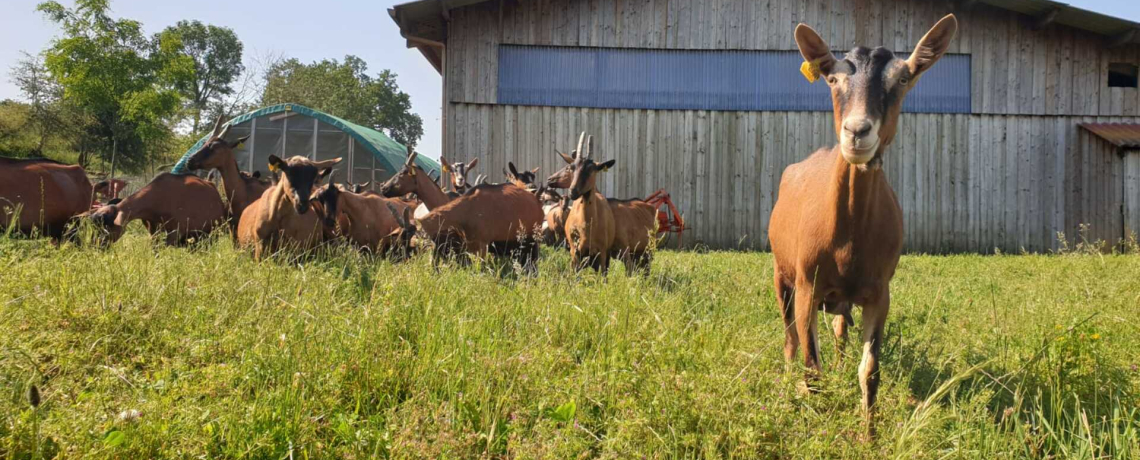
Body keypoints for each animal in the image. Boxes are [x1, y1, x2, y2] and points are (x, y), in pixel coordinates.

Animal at [766, 15, 962, 439]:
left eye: (903, 79)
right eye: (832, 79)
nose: (857, 132)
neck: (847, 239)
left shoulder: (879, 292)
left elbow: (869, 370)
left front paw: (868, 436)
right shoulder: (807, 285)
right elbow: (811, 366)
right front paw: (815, 427)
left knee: (840, 333)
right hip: (781, 275)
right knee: (790, 340)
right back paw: (786, 385)